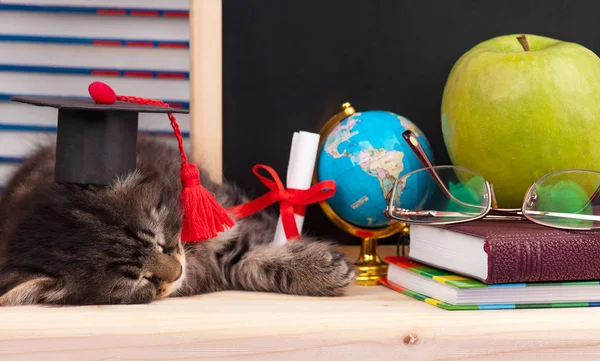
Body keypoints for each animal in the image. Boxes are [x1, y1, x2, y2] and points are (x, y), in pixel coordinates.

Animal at [0, 136, 356, 306]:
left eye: (159, 240)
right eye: (138, 280)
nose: (176, 273)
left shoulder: (227, 214)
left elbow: (258, 235)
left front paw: (317, 264)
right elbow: (248, 263)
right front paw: (318, 270)